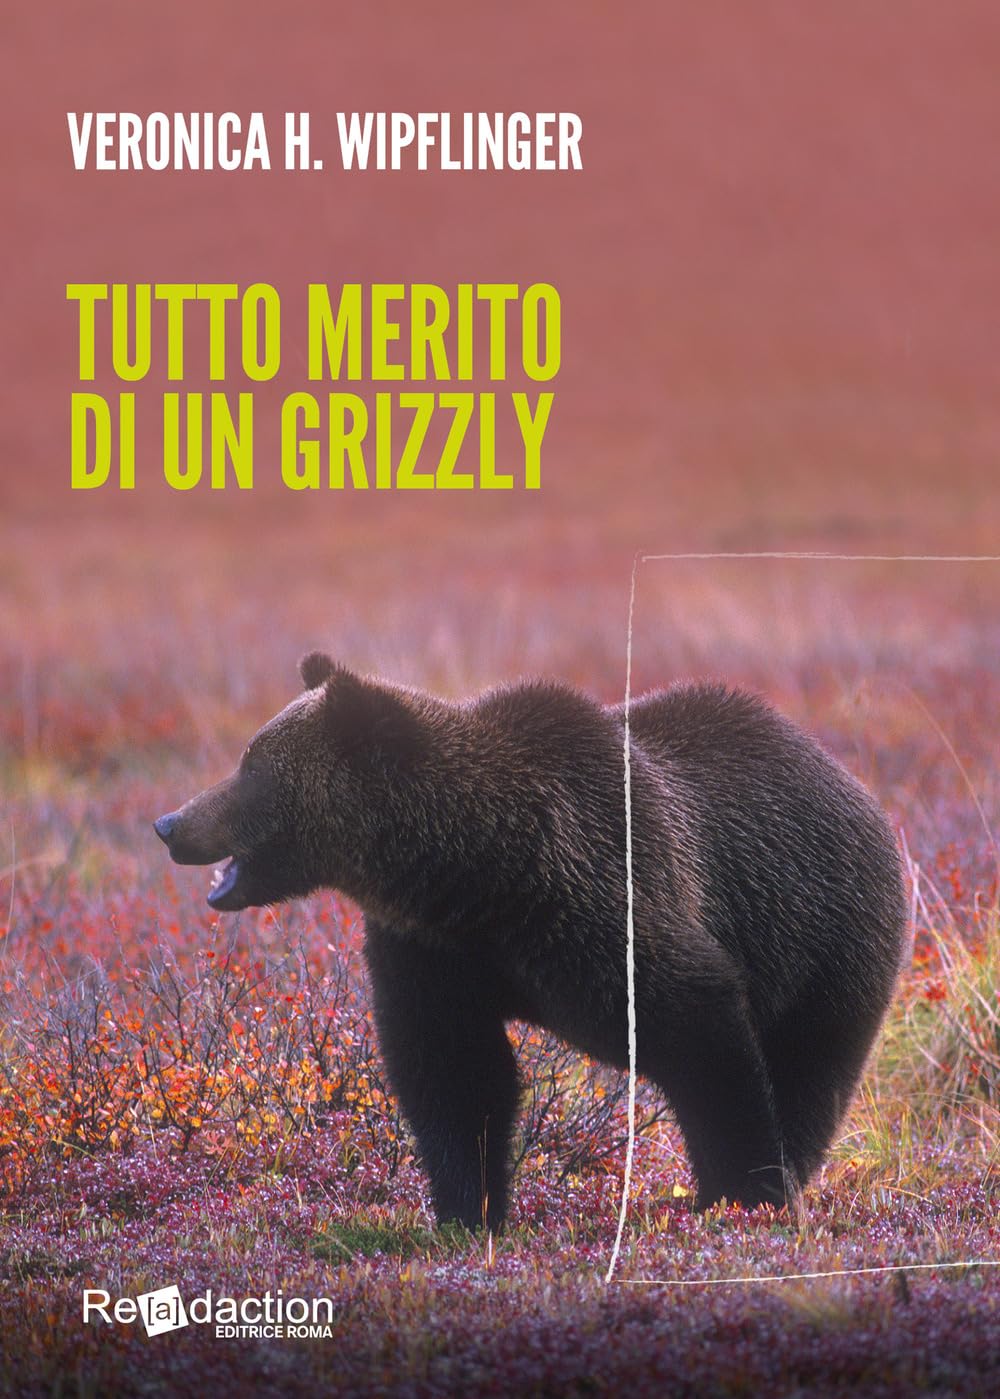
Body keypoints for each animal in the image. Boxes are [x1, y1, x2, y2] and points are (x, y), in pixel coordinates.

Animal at [154, 653, 908, 1231]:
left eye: (250, 766)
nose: (170, 822)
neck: (476, 872)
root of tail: (849, 780)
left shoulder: (608, 902)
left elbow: (702, 1031)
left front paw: (743, 1193)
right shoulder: (433, 952)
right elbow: (455, 1073)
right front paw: (468, 1210)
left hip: (826, 937)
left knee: (809, 1068)